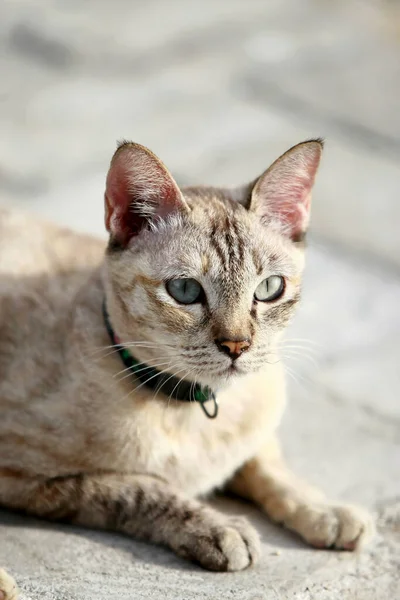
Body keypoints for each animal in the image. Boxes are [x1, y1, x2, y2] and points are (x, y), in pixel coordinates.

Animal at [0, 139, 376, 584]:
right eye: (184, 291)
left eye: (269, 288)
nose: (237, 345)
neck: (197, 406)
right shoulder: (27, 478)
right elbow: (137, 489)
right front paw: (219, 528)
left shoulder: (254, 435)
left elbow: (269, 467)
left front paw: (325, 511)